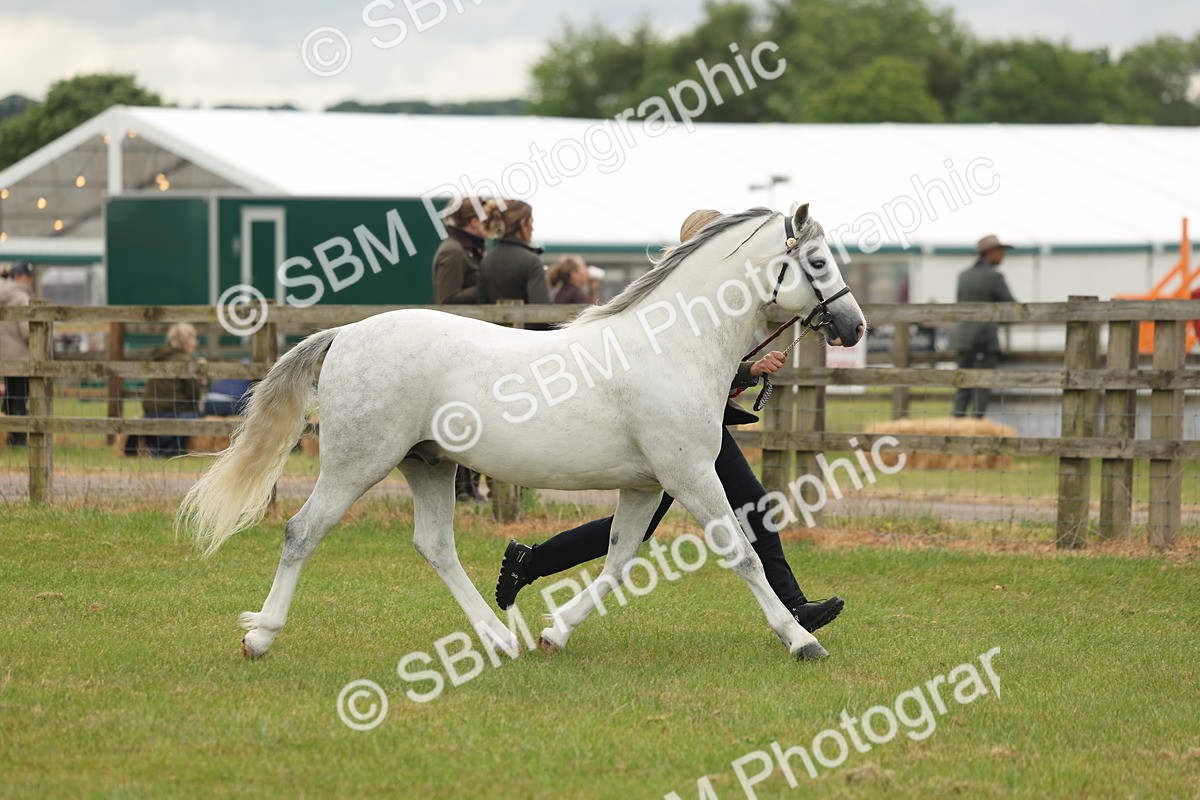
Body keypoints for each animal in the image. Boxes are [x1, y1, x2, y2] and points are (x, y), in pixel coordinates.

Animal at [178, 204, 866, 661]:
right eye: (817, 259)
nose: (854, 326)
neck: (671, 346)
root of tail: (346, 334)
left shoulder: (647, 485)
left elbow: (618, 557)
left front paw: (554, 632)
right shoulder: (691, 474)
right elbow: (741, 551)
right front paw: (802, 640)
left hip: (429, 463)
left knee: (435, 545)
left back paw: (497, 638)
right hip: (357, 463)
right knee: (302, 531)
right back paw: (260, 636)